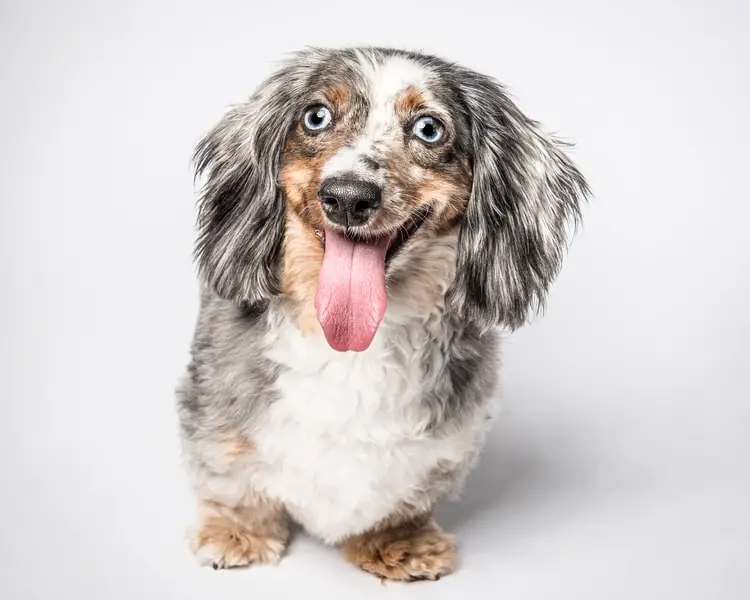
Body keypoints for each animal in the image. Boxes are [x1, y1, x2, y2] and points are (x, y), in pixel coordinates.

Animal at [175, 47, 588, 580]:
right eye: (316, 117)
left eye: (429, 129)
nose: (348, 197)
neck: (351, 349)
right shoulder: (215, 411)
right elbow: (230, 476)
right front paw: (236, 531)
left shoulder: (447, 442)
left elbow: (404, 497)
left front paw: (396, 539)